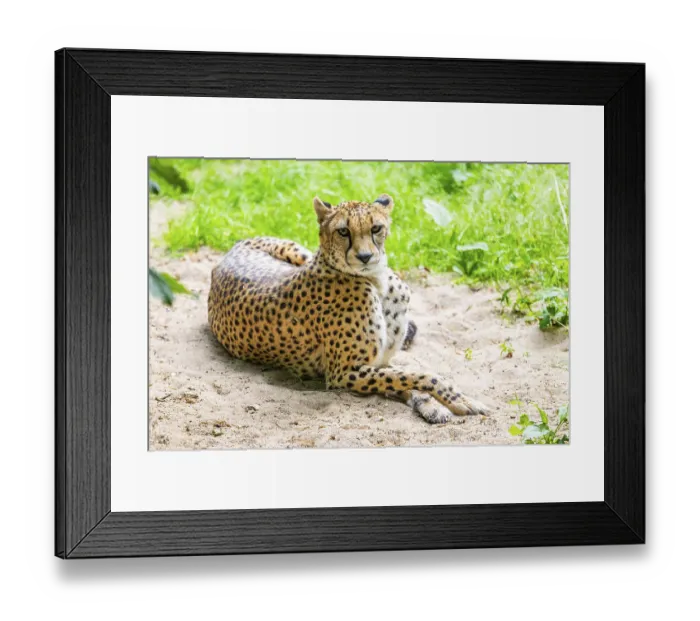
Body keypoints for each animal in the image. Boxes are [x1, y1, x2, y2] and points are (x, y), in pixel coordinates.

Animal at [208, 194, 488, 424]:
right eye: (343, 231)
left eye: (376, 228)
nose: (365, 256)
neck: (378, 282)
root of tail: (228, 251)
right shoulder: (344, 373)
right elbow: (417, 376)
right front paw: (456, 400)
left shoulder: (379, 361)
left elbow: (408, 375)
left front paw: (433, 405)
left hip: (299, 252)